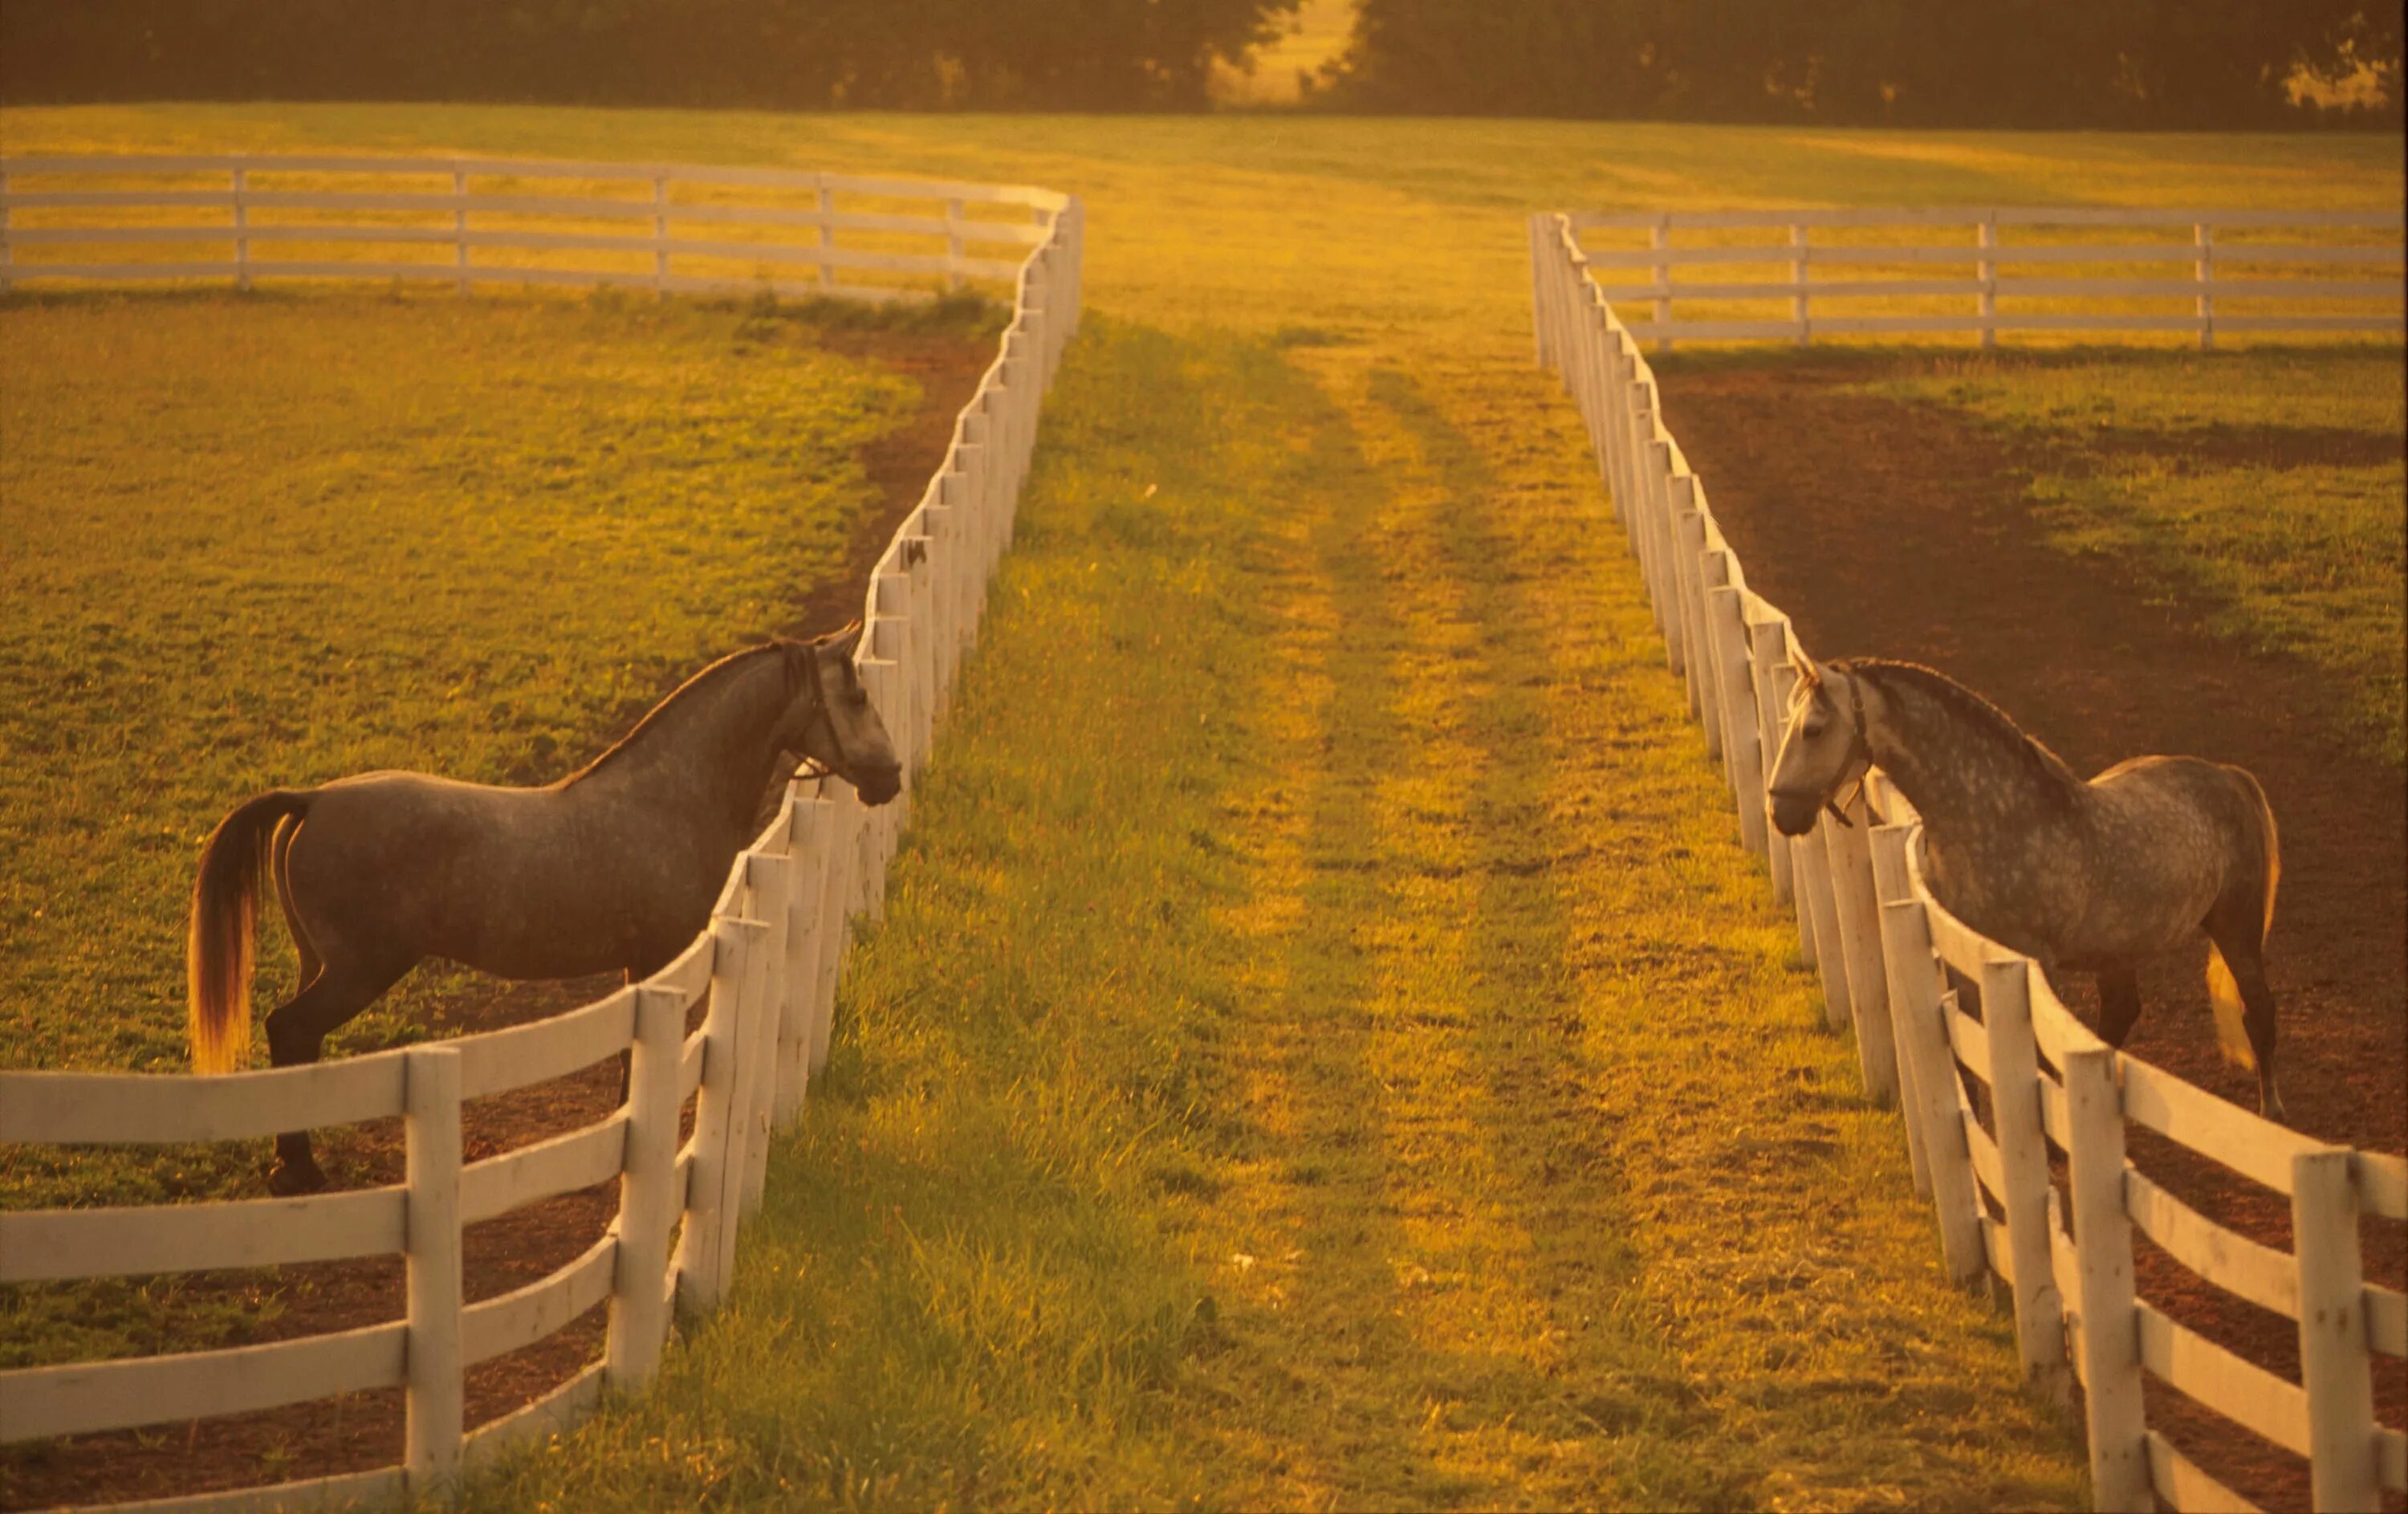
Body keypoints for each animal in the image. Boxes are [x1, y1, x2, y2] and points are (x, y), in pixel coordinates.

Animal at [185, 625, 905, 1194]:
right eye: (857, 697)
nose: (891, 777)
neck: (667, 798)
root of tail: (312, 800)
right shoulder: (659, 958)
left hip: (323, 964)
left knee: (297, 1041)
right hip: (358, 971)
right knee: (290, 1031)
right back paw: (300, 1171)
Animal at [1763, 654, 2283, 1121]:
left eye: (1813, 729)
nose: (1780, 812)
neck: (2001, 818)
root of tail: (2228, 776)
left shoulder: (2034, 961)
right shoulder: (1964, 959)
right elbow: (1968, 1057)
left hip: (2236, 927)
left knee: (2258, 1010)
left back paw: (2270, 1112)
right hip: (2118, 949)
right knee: (2121, 1012)